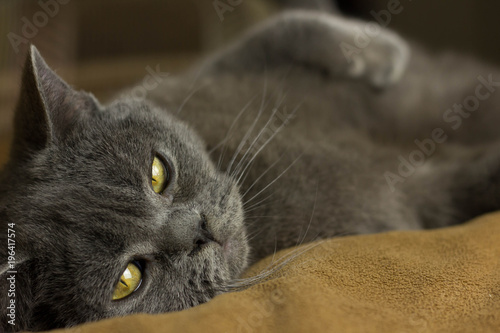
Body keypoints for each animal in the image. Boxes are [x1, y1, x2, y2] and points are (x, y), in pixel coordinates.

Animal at [2, 3, 500, 332]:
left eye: (158, 173)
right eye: (128, 279)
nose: (199, 231)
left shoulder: (222, 64)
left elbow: (289, 26)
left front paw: (384, 56)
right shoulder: (400, 203)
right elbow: (456, 188)